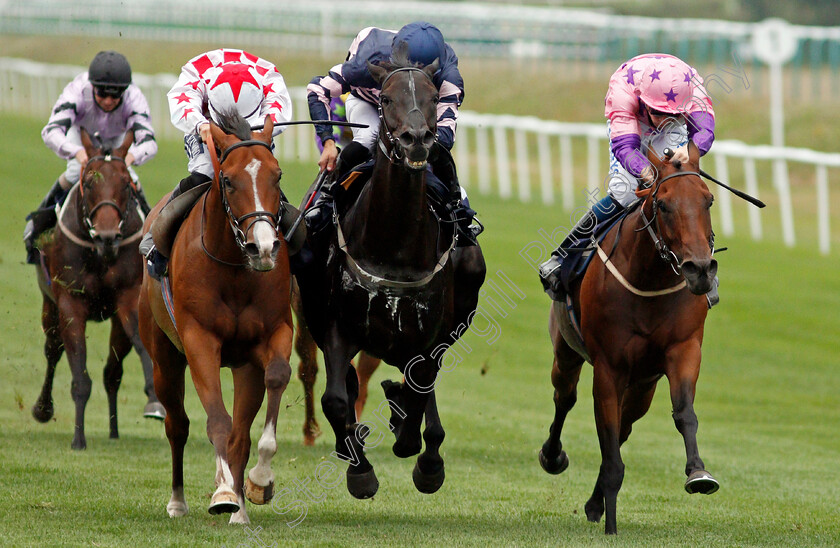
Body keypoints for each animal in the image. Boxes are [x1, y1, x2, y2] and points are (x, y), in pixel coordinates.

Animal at [31, 127, 163, 450]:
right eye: (90, 182)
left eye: (126, 183)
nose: (107, 236)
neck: (100, 254)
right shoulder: (70, 304)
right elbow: (80, 376)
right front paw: (78, 438)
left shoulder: (128, 299)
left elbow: (141, 345)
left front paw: (154, 400)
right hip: (49, 307)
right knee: (52, 352)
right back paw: (43, 408)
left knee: (112, 373)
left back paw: (114, 430)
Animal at [139, 110, 294, 524]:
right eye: (228, 179)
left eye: (277, 175)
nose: (263, 248)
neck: (235, 271)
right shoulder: (199, 341)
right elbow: (216, 421)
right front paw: (223, 492)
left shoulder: (273, 334)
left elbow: (276, 378)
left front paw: (257, 483)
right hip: (163, 358)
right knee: (177, 425)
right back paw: (179, 501)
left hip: (243, 366)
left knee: (240, 432)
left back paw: (240, 507)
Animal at [298, 53, 488, 498]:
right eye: (385, 97)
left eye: (434, 97)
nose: (416, 139)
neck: (394, 246)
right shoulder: (337, 325)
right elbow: (336, 398)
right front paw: (360, 470)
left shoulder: (429, 333)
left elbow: (420, 390)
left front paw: (416, 447)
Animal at [540, 144, 720, 536]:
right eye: (663, 204)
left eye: (709, 200)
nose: (699, 270)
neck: (650, 278)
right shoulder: (608, 368)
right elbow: (608, 447)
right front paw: (610, 525)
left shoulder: (684, 350)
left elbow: (684, 414)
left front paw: (698, 472)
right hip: (566, 352)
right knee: (565, 398)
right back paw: (552, 456)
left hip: (643, 385)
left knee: (624, 425)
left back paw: (593, 503)